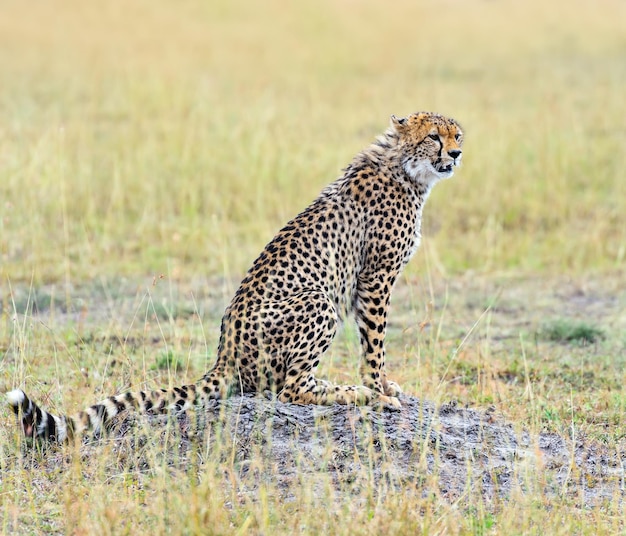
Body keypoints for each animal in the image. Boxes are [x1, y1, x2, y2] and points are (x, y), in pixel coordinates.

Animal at [6, 111, 464, 442]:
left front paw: (384, 387)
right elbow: (375, 345)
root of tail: (222, 356)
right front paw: (380, 388)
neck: (406, 168)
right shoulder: (375, 278)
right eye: (434, 137)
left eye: (457, 135)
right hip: (319, 301)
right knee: (289, 388)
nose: (457, 155)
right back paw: (357, 394)